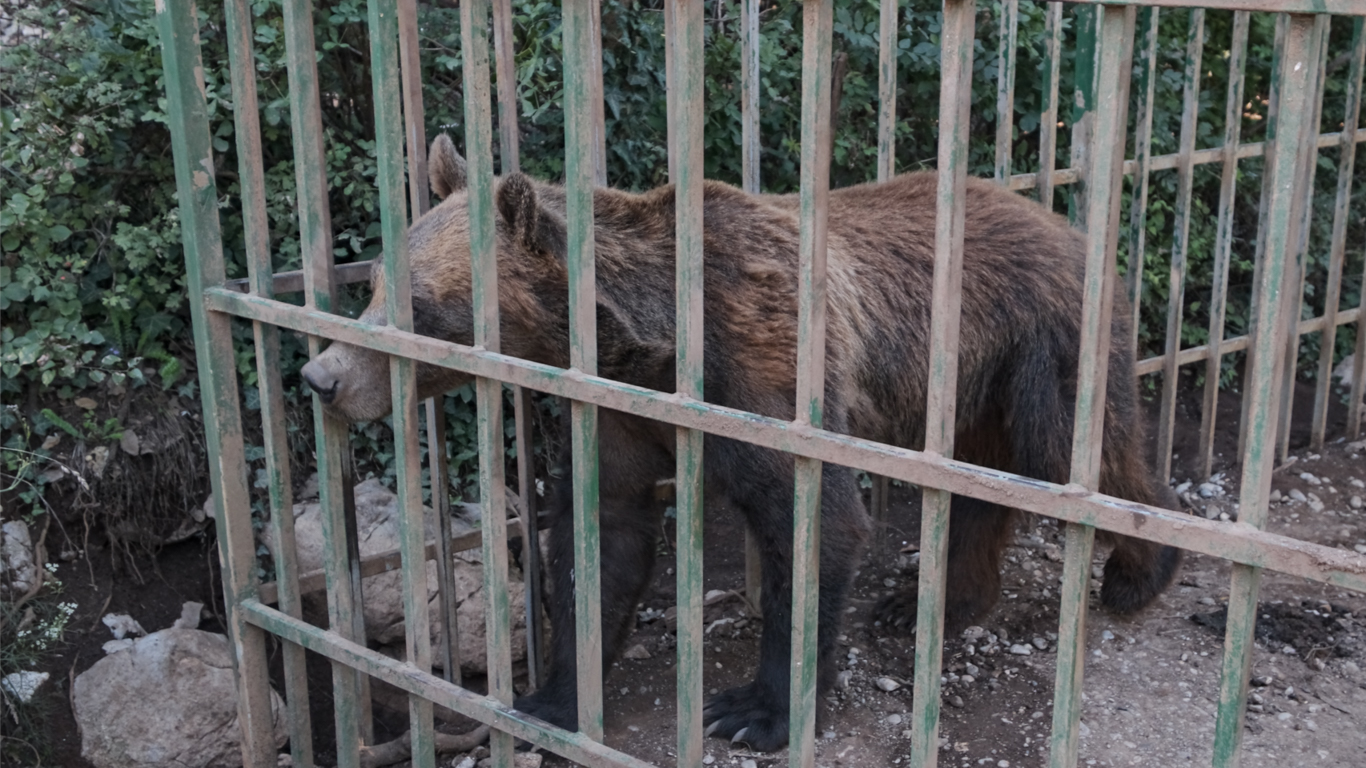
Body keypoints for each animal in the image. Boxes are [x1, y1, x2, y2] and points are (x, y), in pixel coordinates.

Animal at [304, 133, 1180, 748]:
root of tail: (1065, 221)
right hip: (970, 383)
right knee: (979, 487)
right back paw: (923, 604)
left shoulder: (764, 375)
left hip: (1040, 343)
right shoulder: (617, 414)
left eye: (418, 303)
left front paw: (754, 711)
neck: (646, 348)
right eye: (373, 280)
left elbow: (814, 523)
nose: (321, 376)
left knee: (1085, 455)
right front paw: (551, 698)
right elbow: (602, 536)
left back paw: (1141, 570)